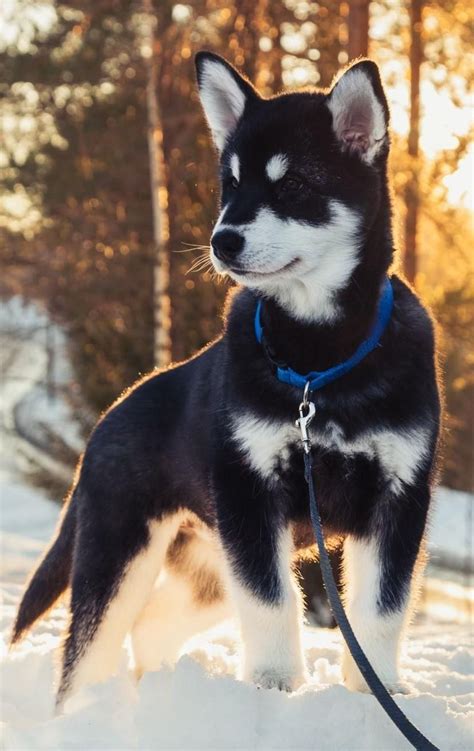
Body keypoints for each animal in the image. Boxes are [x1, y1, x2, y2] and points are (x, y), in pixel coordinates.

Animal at [11, 51, 440, 704]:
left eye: (293, 185)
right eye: (231, 185)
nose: (223, 240)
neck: (317, 364)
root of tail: (106, 419)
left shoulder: (399, 495)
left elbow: (382, 612)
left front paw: (377, 692)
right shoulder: (249, 492)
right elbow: (271, 604)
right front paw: (274, 686)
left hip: (208, 563)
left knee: (154, 623)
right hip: (121, 552)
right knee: (88, 653)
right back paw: (83, 709)